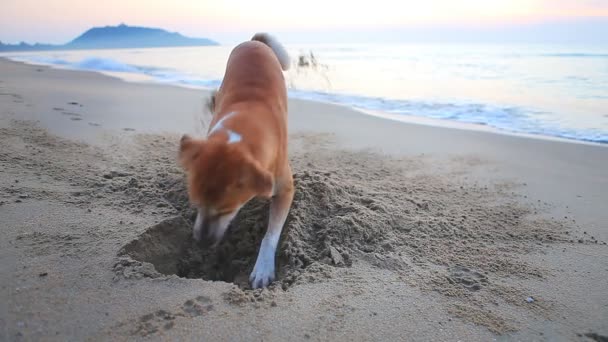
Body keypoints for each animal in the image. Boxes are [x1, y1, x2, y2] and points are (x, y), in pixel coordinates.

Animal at [179, 32, 294, 288]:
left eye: (226, 210)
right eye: (195, 203)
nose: (201, 243)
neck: (238, 134)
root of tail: (254, 42)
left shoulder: (285, 188)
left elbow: (271, 233)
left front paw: (262, 268)